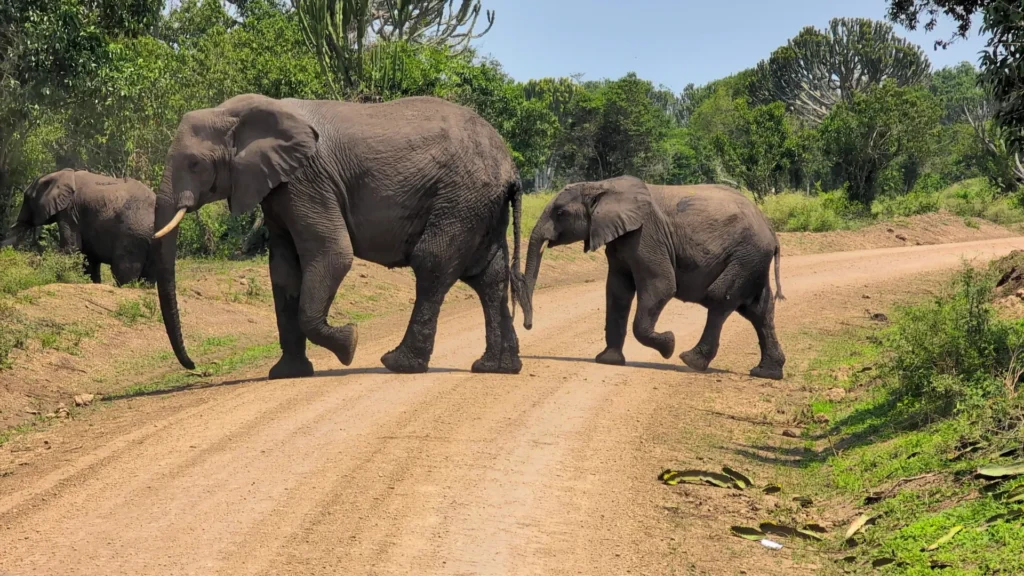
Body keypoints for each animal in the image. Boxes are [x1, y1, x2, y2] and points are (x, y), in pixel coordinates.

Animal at [1, 168, 157, 285]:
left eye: (27, 198)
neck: (62, 174)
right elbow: (89, 258)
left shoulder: (70, 211)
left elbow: (71, 248)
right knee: (149, 277)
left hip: (133, 235)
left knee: (123, 271)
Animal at [151, 93, 527, 379]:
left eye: (195, 164)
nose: (195, 367)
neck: (236, 111)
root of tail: (510, 167)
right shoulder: (279, 189)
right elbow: (283, 270)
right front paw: (287, 374)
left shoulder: (306, 181)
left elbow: (332, 253)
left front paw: (350, 343)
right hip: (479, 206)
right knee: (489, 277)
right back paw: (495, 368)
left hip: (460, 200)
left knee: (432, 265)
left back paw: (398, 364)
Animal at [519, 176, 786, 380]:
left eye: (560, 212)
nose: (528, 326)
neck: (601, 185)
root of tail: (771, 231)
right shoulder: (620, 241)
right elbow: (617, 292)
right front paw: (607, 361)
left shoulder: (645, 236)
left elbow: (661, 286)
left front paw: (668, 344)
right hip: (752, 261)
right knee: (758, 310)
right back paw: (766, 373)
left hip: (746, 256)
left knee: (720, 298)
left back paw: (690, 360)